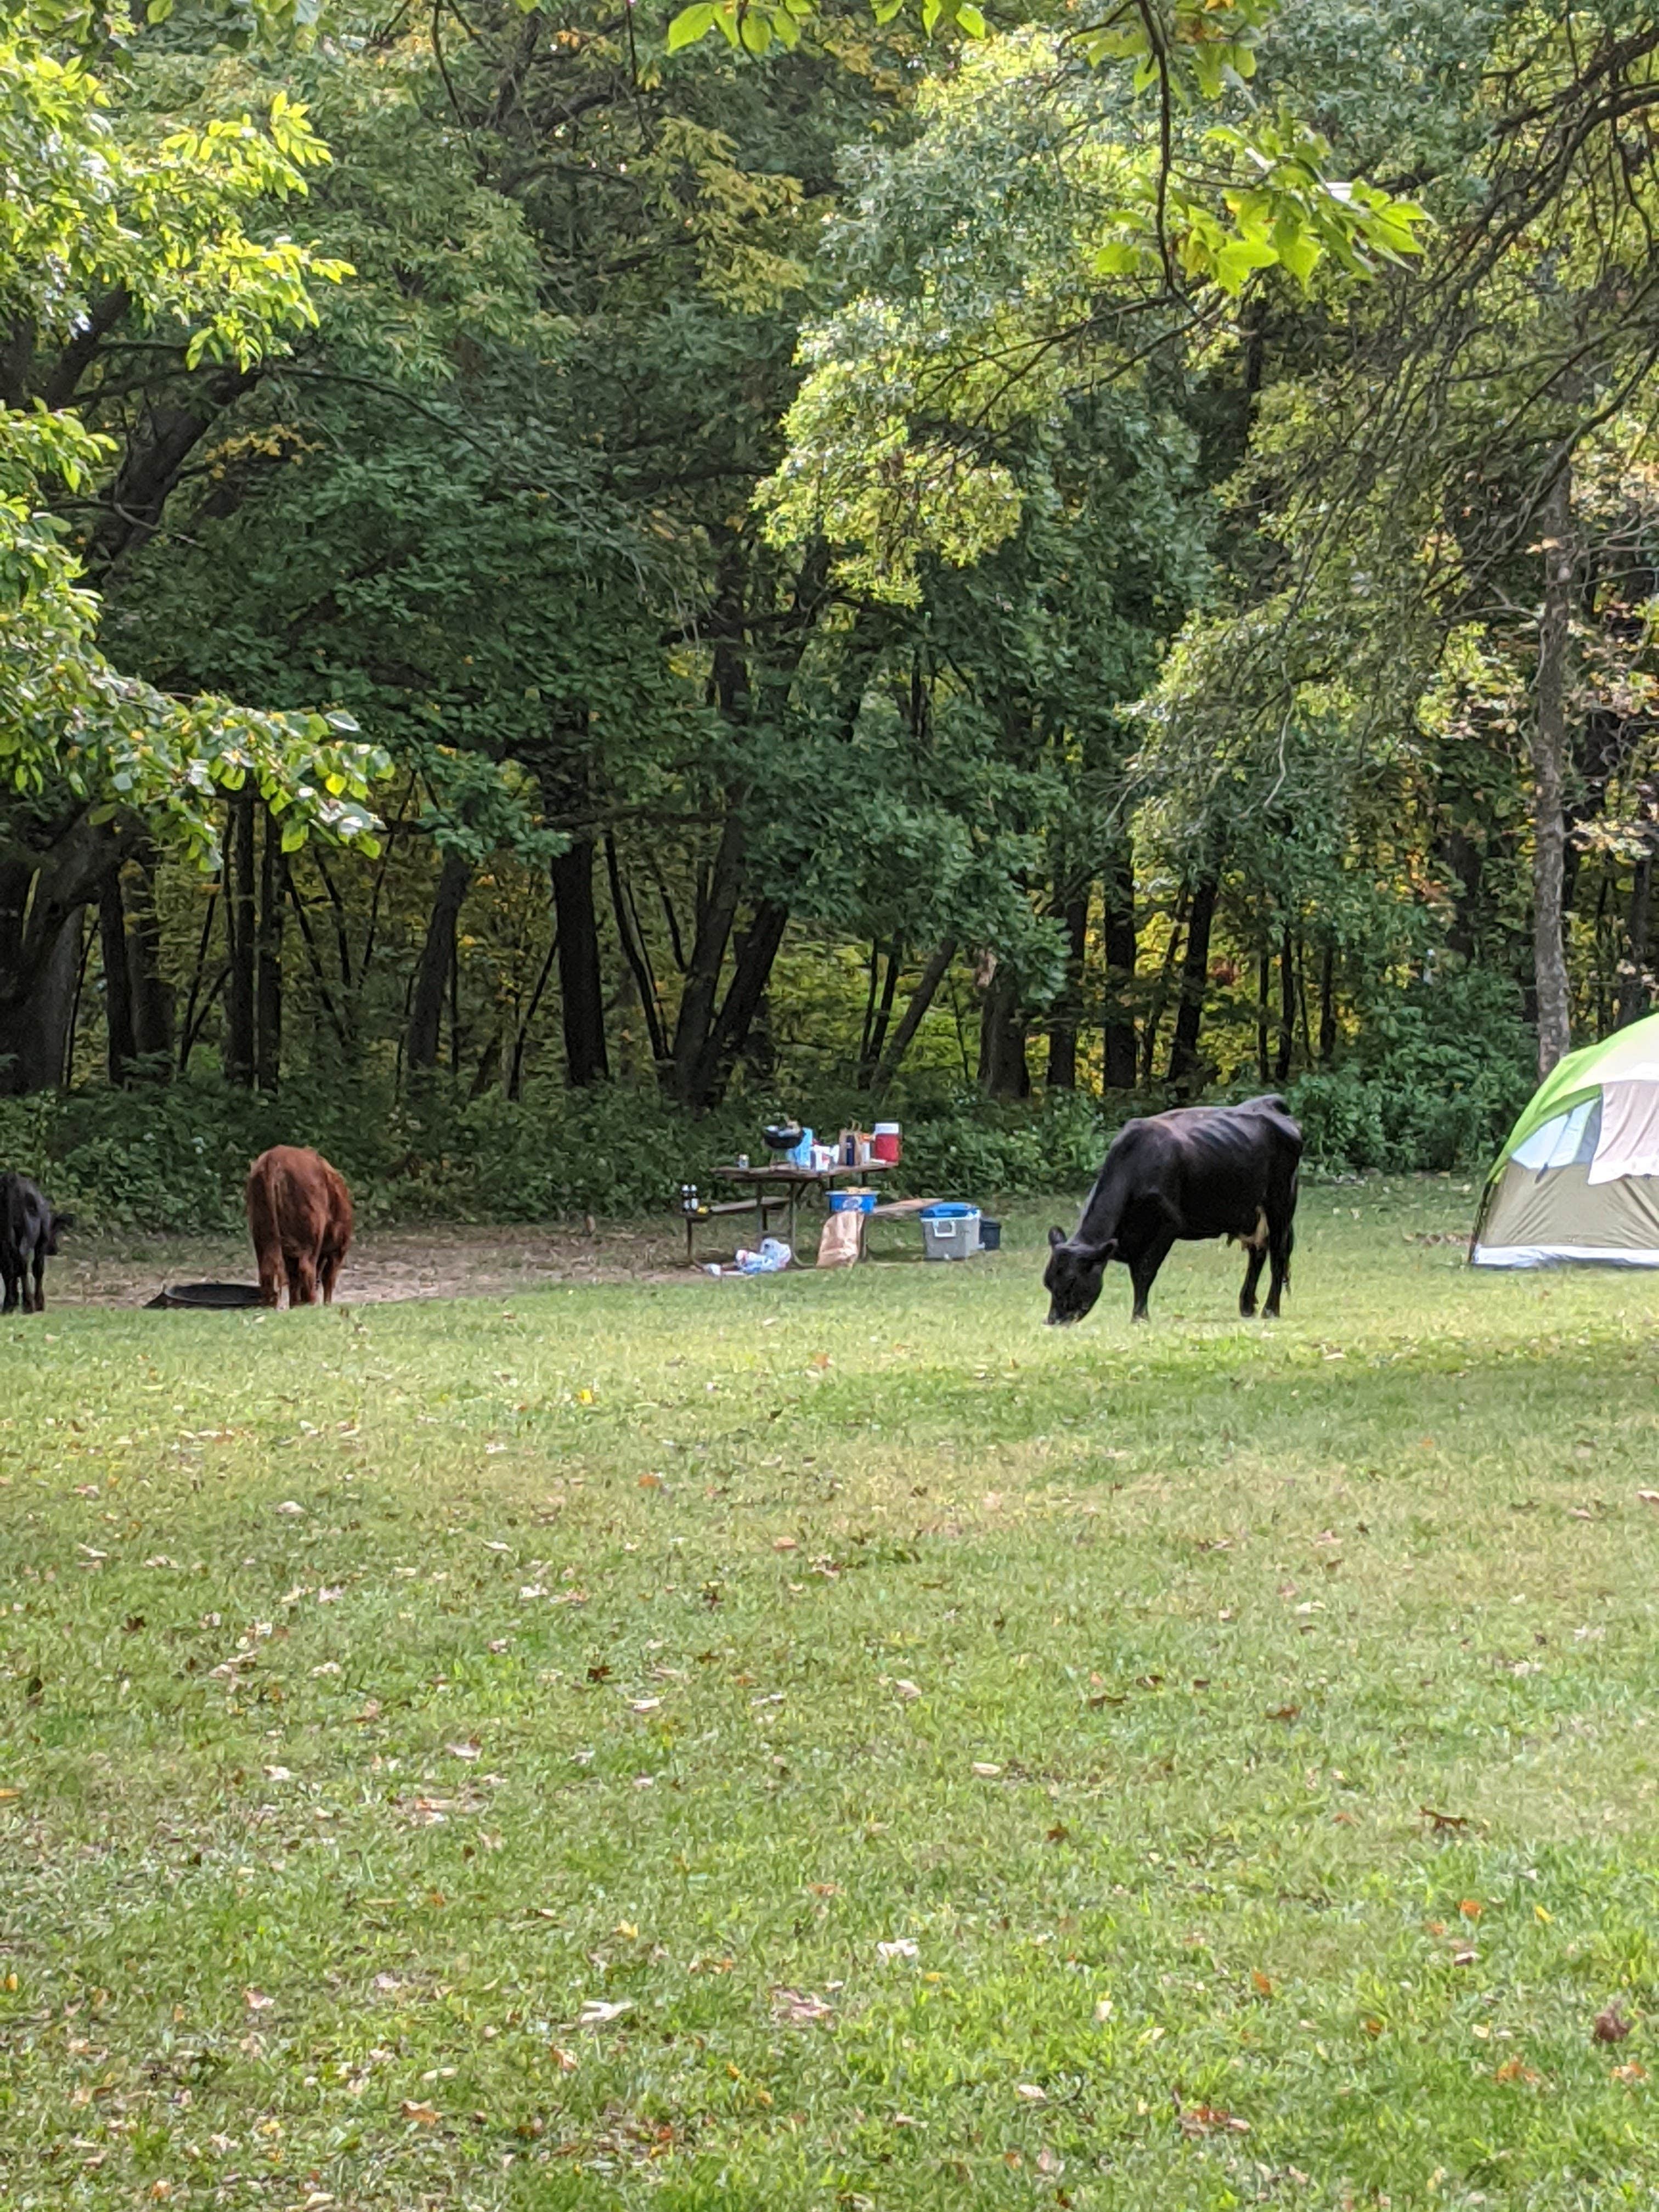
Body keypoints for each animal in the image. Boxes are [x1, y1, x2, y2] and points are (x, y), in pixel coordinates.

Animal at [0, 1177, 71, 1309]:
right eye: (56, 1230)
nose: (55, 1250)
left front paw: (14, 1300)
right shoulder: (41, 1242)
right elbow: (38, 1268)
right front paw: (39, 1302)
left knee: (9, 1267)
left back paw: (9, 1304)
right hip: (27, 1236)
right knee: (22, 1264)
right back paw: (28, 1304)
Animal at [243, 1150, 352, 1300]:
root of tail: (273, 1157)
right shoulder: (338, 1248)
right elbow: (328, 1279)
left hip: (263, 1235)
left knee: (268, 1271)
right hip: (311, 1238)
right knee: (307, 1271)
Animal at [1044, 1097, 1309, 1318]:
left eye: (1072, 1281)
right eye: (1047, 1283)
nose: (1054, 1321)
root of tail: (1269, 1102)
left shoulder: (1168, 1226)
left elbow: (1144, 1272)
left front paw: (1140, 1317)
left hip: (1280, 1206)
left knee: (1278, 1255)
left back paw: (1270, 1310)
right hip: (1249, 1213)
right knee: (1258, 1254)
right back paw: (1246, 1306)